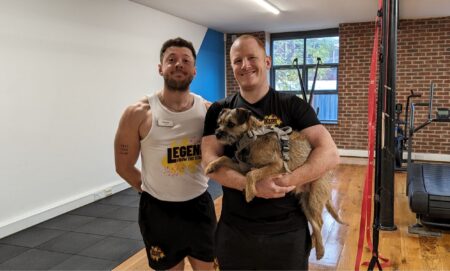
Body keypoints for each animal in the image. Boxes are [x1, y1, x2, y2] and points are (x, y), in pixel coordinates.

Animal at [206, 107, 342, 260]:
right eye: (219, 123)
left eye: (230, 124)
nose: (217, 134)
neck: (252, 137)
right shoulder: (242, 167)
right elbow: (224, 158)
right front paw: (211, 165)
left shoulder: (277, 165)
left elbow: (252, 174)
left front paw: (250, 192)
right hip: (305, 203)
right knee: (316, 223)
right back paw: (316, 246)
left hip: (314, 198)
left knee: (319, 222)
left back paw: (320, 250)